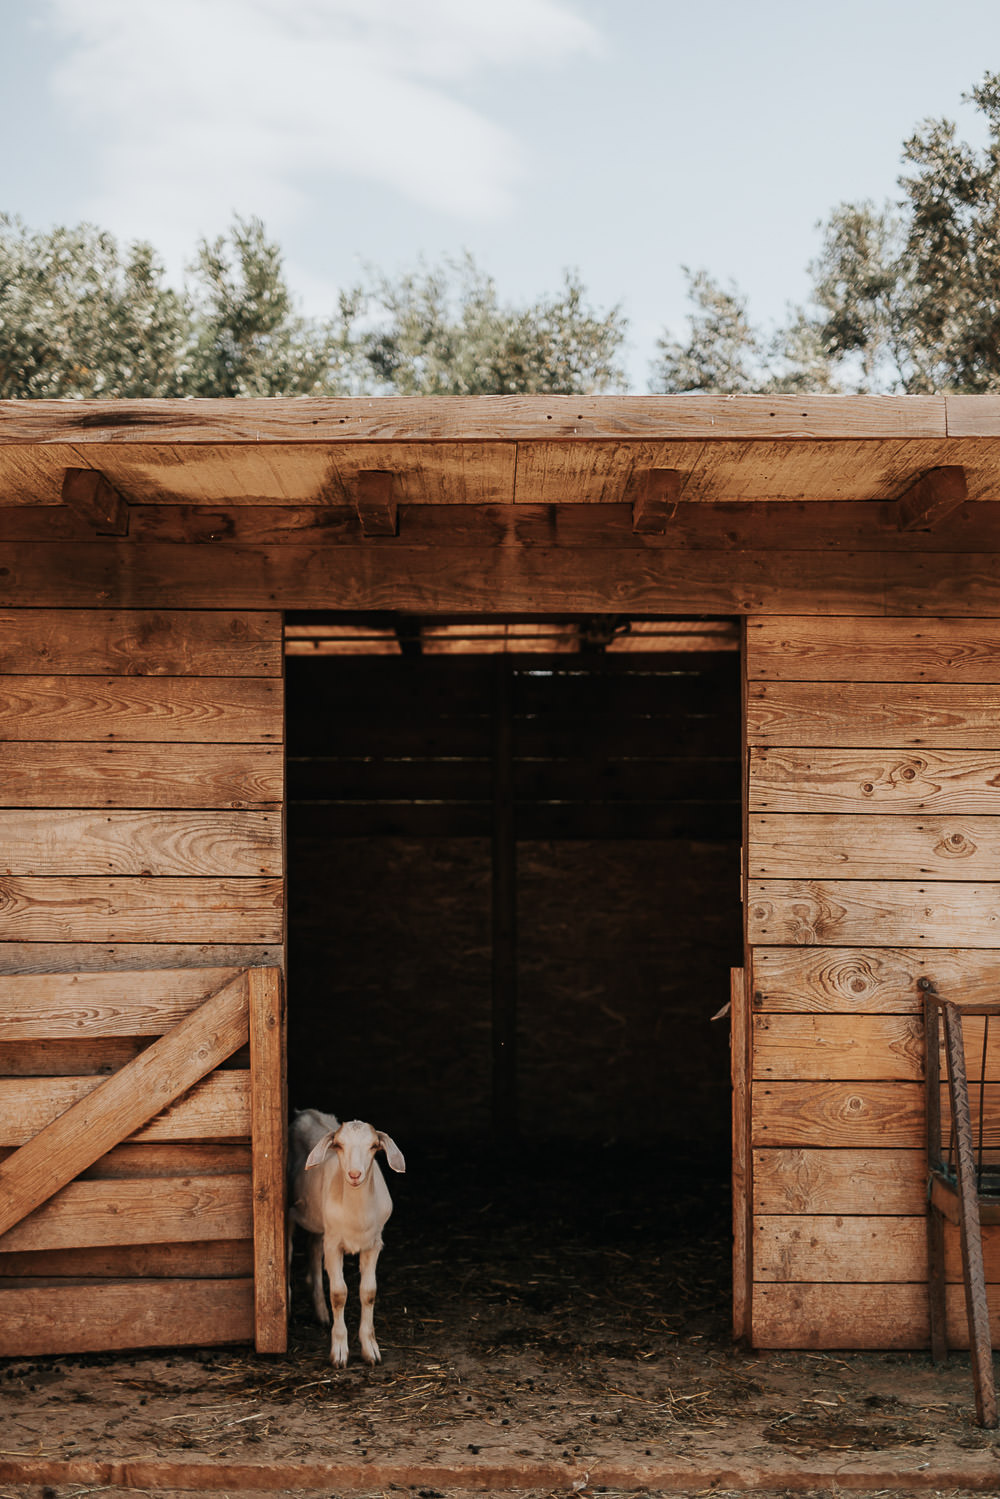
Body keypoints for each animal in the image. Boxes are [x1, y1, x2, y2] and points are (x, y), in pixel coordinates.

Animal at [287, 1109, 404, 1367]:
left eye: (373, 1146)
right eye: (339, 1145)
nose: (354, 1174)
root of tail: (307, 1112)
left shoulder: (373, 1244)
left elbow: (368, 1292)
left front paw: (371, 1350)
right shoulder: (334, 1245)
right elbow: (339, 1293)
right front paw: (339, 1352)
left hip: (320, 1223)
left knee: (312, 1251)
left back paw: (321, 1313)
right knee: (288, 1253)